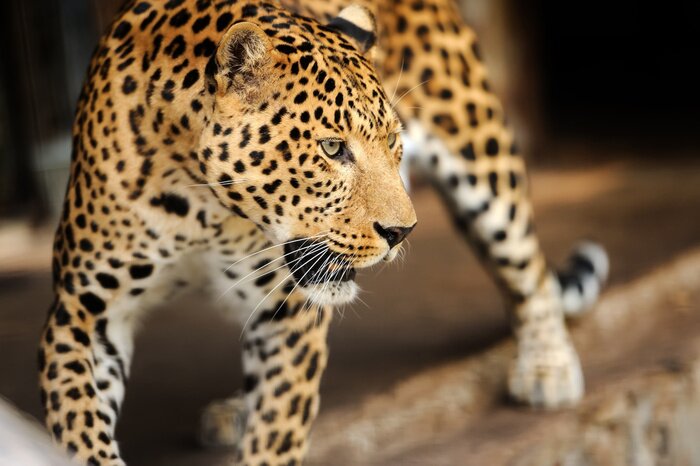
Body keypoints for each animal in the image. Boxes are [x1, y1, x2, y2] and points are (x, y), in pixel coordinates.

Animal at [38, 0, 608, 465]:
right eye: (332, 148)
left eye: (393, 141)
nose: (403, 231)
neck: (201, 205)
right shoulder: (83, 312)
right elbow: (78, 424)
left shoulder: (291, 314)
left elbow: (277, 430)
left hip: (480, 151)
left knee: (526, 267)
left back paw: (548, 368)